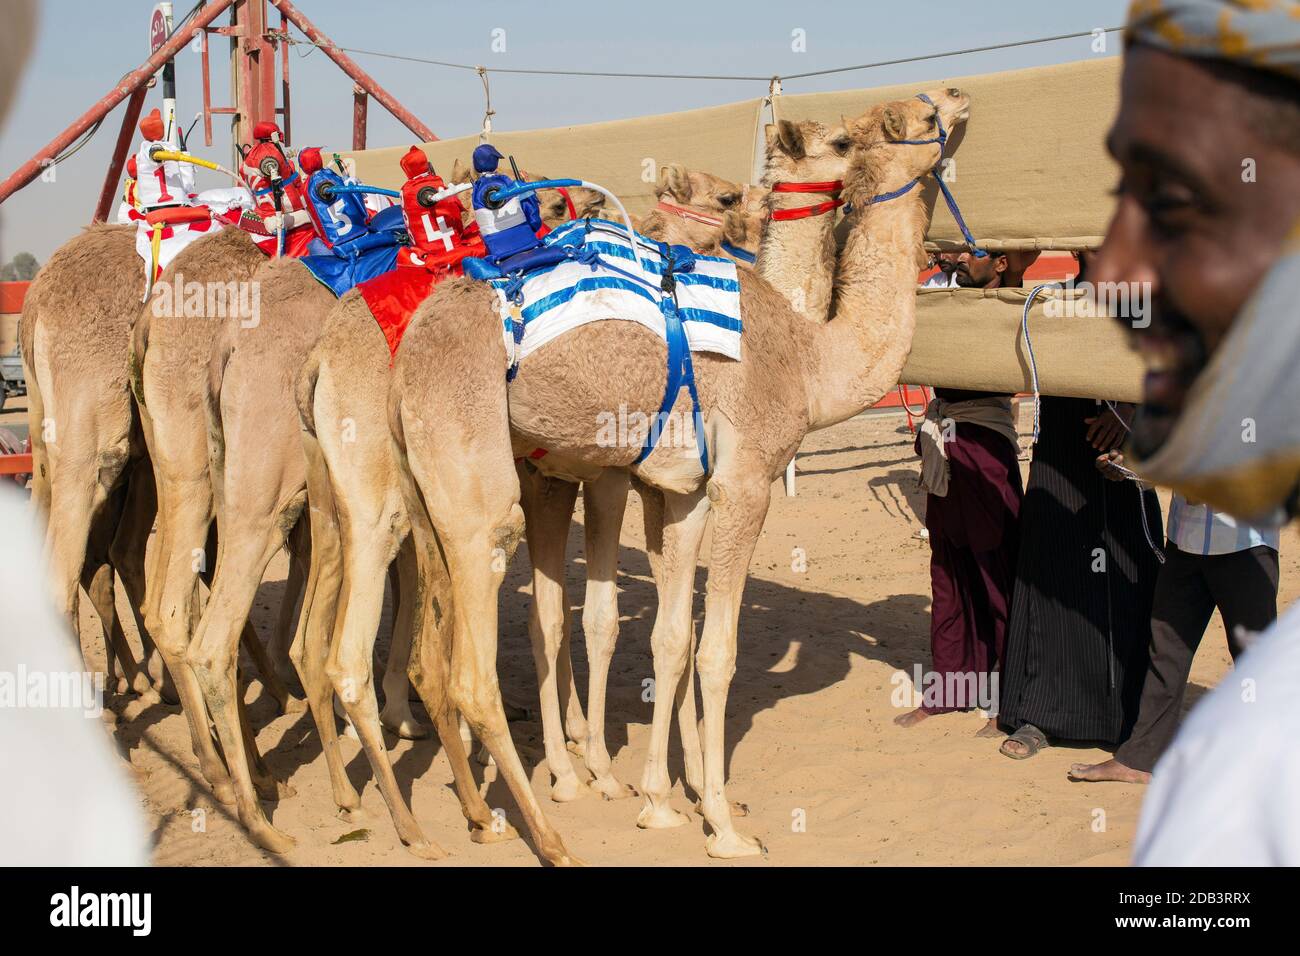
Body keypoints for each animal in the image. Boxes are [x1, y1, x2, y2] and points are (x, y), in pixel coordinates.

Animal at [389, 87, 970, 860]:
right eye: (924, 117)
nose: (960, 96)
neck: (810, 356)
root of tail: (409, 351)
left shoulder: (684, 490)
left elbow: (675, 637)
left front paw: (664, 799)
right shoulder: (744, 480)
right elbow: (717, 650)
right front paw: (722, 825)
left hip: (431, 494)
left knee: (436, 653)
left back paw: (478, 813)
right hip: (477, 480)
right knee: (473, 669)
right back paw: (553, 827)